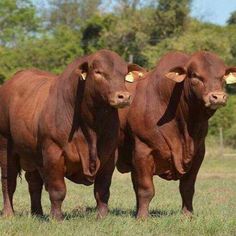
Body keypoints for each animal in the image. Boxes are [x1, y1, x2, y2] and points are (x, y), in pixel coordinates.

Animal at [0, 48, 143, 220]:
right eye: (98, 72)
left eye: (124, 74)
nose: (124, 97)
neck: (91, 127)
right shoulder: (53, 153)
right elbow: (57, 190)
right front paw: (57, 218)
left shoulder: (109, 155)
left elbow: (102, 189)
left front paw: (102, 216)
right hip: (5, 147)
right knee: (8, 182)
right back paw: (8, 213)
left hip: (33, 154)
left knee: (34, 183)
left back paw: (37, 213)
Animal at [116, 50, 236, 218]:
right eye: (195, 75)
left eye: (222, 76)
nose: (218, 97)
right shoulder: (143, 150)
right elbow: (146, 189)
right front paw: (142, 217)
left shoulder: (198, 153)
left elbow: (187, 188)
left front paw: (188, 215)